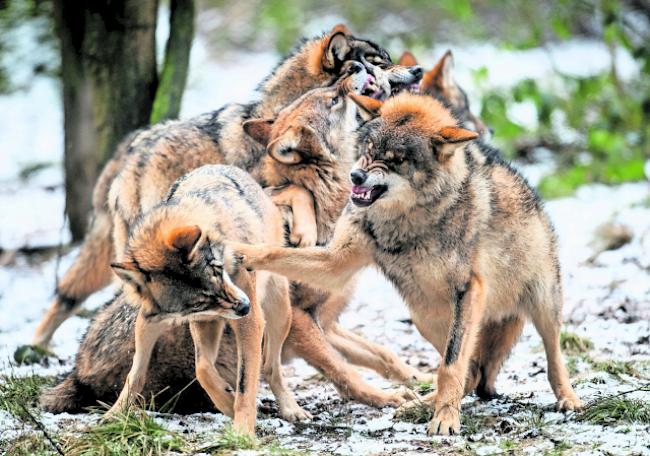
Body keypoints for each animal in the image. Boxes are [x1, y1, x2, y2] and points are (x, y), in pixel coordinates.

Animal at [30, 24, 420, 350]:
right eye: (377, 64)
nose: (417, 70)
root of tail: (127, 154)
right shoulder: (264, 188)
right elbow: (300, 198)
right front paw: (305, 233)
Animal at [232, 91, 584, 434]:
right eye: (368, 151)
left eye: (396, 160)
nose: (356, 175)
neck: (405, 220)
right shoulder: (336, 263)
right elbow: (277, 254)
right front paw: (241, 251)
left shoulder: (468, 288)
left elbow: (451, 365)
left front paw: (445, 420)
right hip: (425, 317)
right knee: (471, 372)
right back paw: (420, 404)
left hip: (541, 305)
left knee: (551, 358)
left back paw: (568, 400)